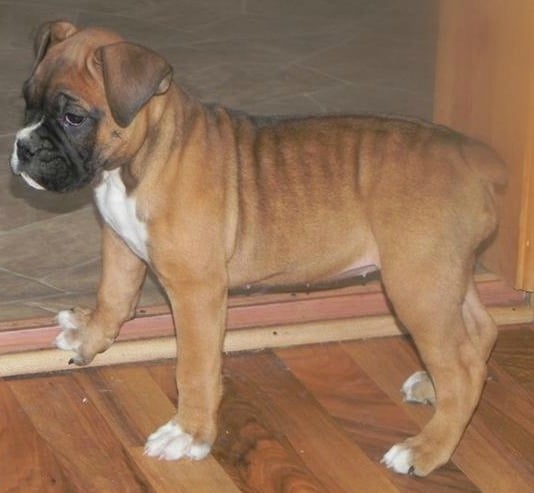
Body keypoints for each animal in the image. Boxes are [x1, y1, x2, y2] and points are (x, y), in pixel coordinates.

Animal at [10, 21, 508, 474]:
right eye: (27, 101)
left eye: (74, 117)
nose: (23, 147)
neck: (138, 161)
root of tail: (474, 158)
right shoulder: (120, 246)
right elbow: (112, 298)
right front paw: (90, 338)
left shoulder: (197, 293)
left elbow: (194, 368)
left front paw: (189, 433)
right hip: (444, 277)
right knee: (478, 334)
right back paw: (433, 389)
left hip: (416, 286)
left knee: (462, 369)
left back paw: (426, 449)